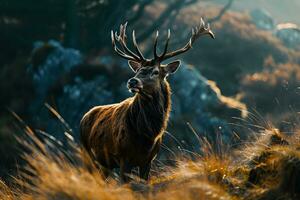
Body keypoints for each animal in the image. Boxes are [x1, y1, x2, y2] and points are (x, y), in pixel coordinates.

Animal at [81, 19, 214, 183]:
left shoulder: (148, 160)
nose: (132, 81)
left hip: (105, 163)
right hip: (87, 153)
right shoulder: (124, 157)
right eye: (137, 70)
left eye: (155, 72)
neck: (147, 136)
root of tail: (84, 116)